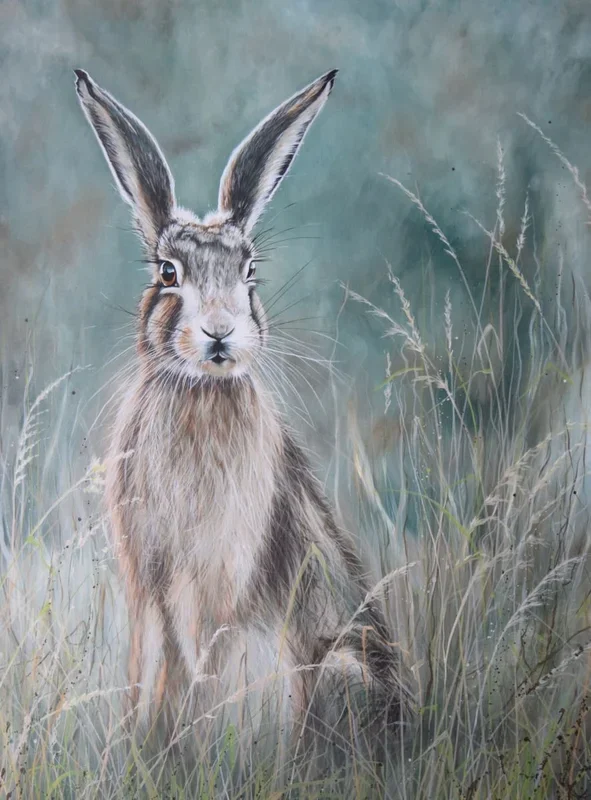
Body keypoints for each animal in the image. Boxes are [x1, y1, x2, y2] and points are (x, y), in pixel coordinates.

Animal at [74, 67, 413, 755]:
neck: (199, 392)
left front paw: (189, 752)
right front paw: (142, 749)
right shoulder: (148, 587)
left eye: (249, 269)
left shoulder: (217, 583)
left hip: (338, 676)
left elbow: (202, 668)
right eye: (167, 272)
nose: (220, 332)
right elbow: (149, 667)